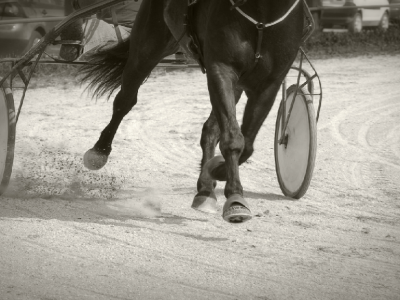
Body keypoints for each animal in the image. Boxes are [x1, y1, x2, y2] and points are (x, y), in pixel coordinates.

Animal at [83, 0, 304, 223]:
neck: (263, 16)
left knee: (210, 129)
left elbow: (246, 145)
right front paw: (234, 197)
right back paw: (99, 151)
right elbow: (233, 140)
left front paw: (216, 170)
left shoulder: (269, 84)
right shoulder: (220, 69)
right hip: (148, 46)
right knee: (125, 100)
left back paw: (205, 190)